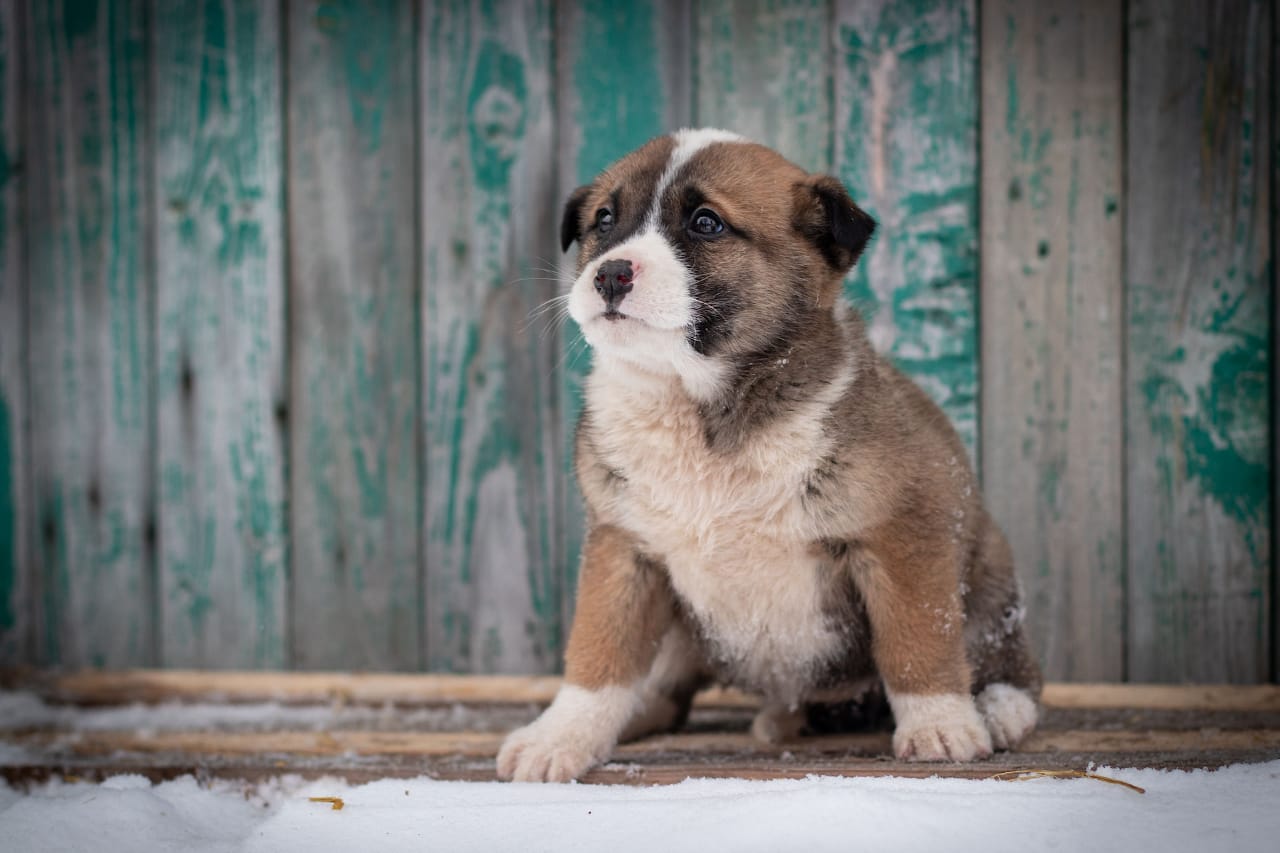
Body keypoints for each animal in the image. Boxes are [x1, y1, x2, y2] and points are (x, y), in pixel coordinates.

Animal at [496, 129, 1039, 778]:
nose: (610, 275)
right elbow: (598, 652)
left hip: (990, 579)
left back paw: (1001, 711)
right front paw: (561, 736)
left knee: (1009, 667)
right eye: (604, 220)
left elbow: (917, 641)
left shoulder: (903, 535)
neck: (700, 407)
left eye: (706, 223)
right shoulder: (624, 548)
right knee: (667, 684)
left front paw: (939, 725)